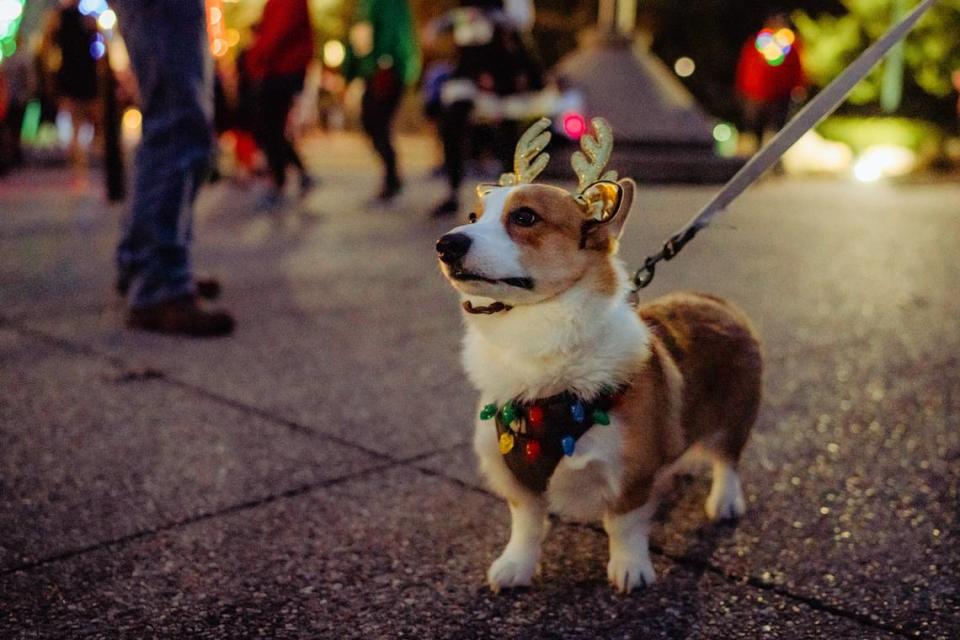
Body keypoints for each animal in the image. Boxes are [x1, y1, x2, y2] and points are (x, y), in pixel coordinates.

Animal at [436, 117, 764, 592]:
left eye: (524, 217)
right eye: (472, 217)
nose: (446, 244)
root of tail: (716, 300)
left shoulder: (630, 474)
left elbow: (623, 526)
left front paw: (630, 569)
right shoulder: (518, 482)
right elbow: (526, 526)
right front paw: (514, 566)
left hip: (735, 416)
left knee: (728, 460)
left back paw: (724, 501)